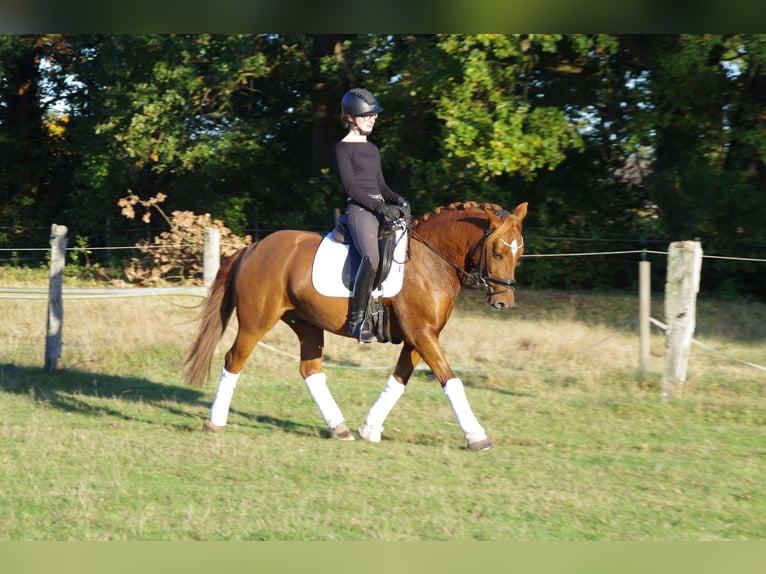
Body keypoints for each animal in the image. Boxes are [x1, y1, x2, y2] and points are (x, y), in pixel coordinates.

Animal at [183, 200, 528, 451]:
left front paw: (369, 427)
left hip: (306, 323)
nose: (504, 302)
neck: (432, 261)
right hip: (256, 322)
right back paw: (215, 422)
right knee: (233, 360)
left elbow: (399, 380)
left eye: (520, 251)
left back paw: (339, 428)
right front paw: (477, 437)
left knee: (311, 370)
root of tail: (252, 248)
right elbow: (451, 381)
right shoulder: (422, 335)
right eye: (498, 252)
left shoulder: (419, 337)